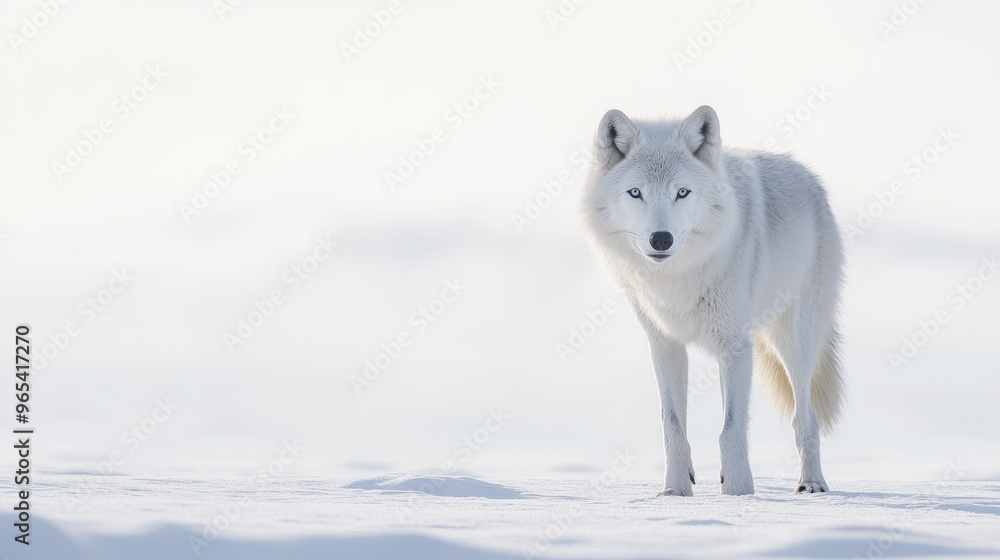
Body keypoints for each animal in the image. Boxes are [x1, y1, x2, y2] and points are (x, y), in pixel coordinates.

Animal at [582, 106, 845, 496]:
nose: (661, 239)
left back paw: (811, 484)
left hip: (792, 344)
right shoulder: (666, 344)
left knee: (805, 417)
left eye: (682, 192)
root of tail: (810, 179)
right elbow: (673, 424)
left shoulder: (735, 346)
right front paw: (675, 491)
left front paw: (738, 493)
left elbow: (731, 428)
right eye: (635, 193)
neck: (678, 278)